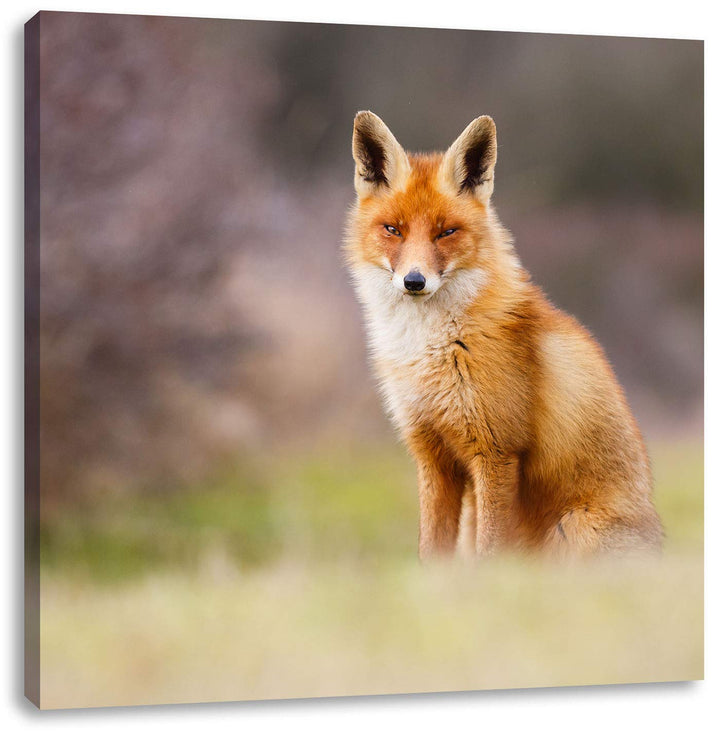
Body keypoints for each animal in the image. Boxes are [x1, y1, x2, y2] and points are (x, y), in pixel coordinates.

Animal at [344, 110, 663, 560]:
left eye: (446, 232)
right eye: (393, 229)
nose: (414, 281)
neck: (432, 349)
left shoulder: (495, 452)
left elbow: (489, 553)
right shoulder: (432, 454)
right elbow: (431, 552)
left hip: (572, 528)